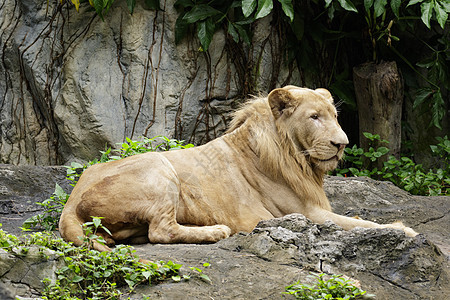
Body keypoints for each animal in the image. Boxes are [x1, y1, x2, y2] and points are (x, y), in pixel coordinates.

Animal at [58, 85, 416, 252]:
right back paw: (217, 231)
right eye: (314, 117)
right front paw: (405, 230)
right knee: (161, 231)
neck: (298, 158)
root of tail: (70, 202)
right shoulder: (305, 213)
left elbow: (355, 219)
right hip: (159, 166)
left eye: (335, 116)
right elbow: (358, 224)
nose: (341, 143)